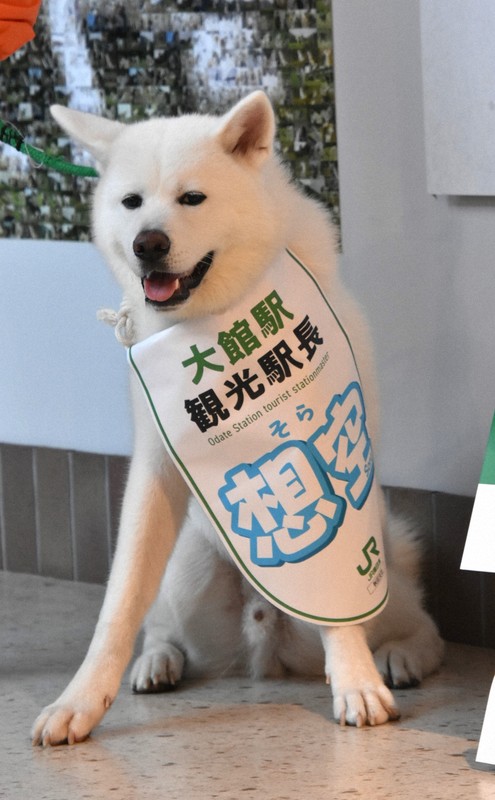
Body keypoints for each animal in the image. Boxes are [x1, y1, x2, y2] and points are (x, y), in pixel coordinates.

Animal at [34, 92, 446, 744]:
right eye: (131, 202)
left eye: (192, 198)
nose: (147, 244)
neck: (214, 322)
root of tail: (263, 637)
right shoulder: (154, 470)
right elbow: (120, 602)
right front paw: (79, 700)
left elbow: (339, 602)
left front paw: (356, 683)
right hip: (187, 571)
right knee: (162, 623)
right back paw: (157, 661)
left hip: (388, 584)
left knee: (418, 621)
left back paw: (400, 657)